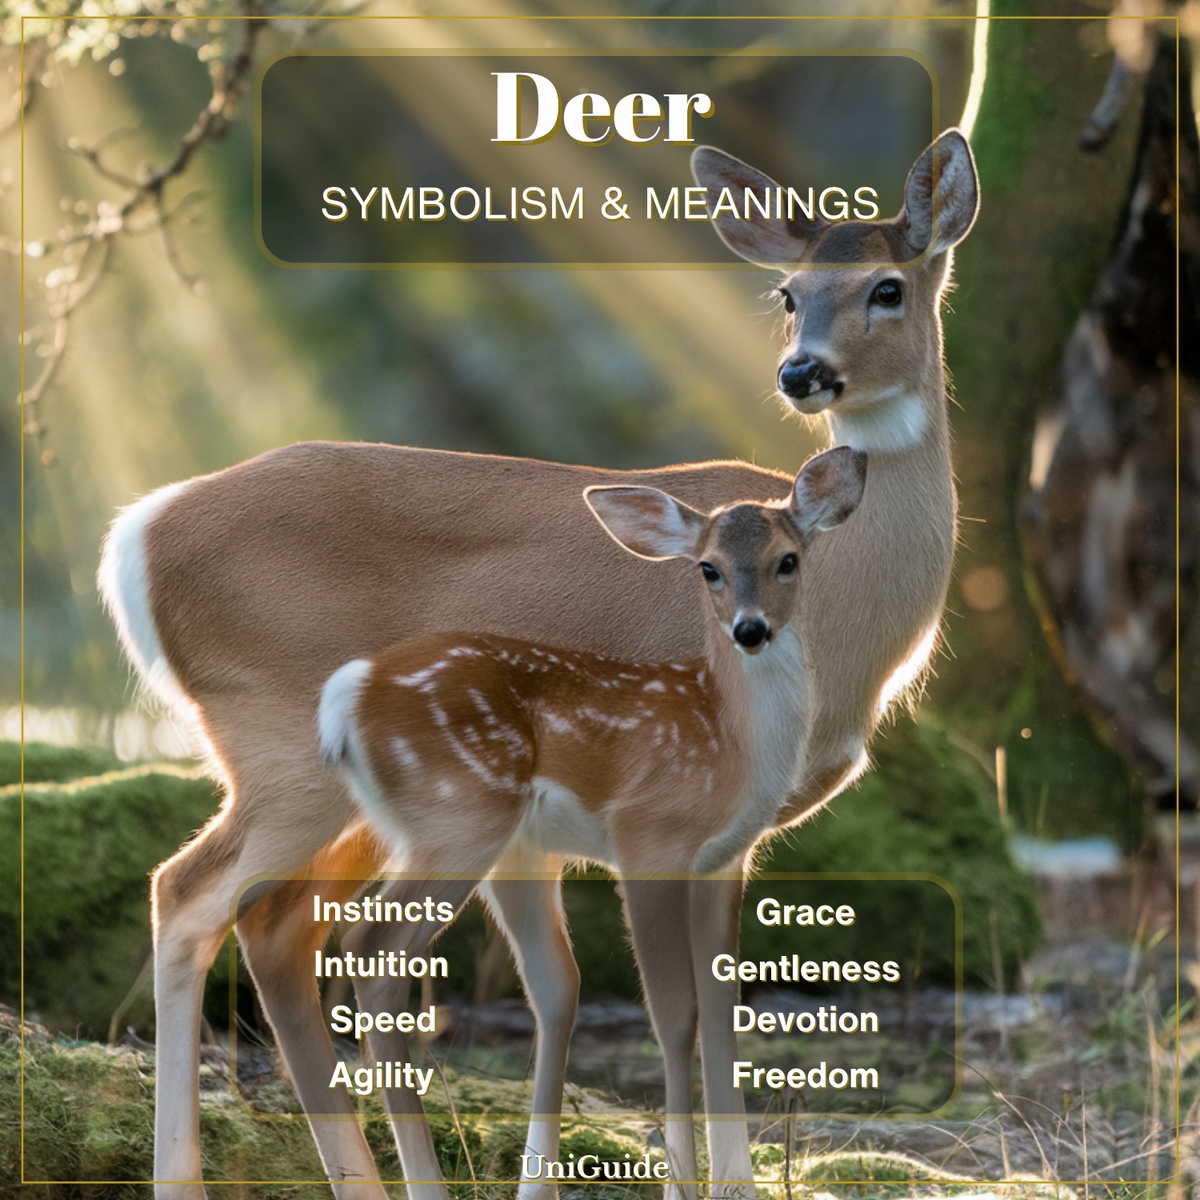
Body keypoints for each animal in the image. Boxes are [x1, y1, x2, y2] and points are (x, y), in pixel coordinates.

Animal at [315, 446, 866, 1197]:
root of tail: (347, 695)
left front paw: (735, 1186)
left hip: (470, 837)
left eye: (789, 560)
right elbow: (675, 1014)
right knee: (370, 943)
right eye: (709, 568)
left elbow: (723, 1008)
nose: (750, 630)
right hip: (458, 815)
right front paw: (680, 1184)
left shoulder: (725, 859)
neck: (728, 741)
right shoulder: (649, 835)